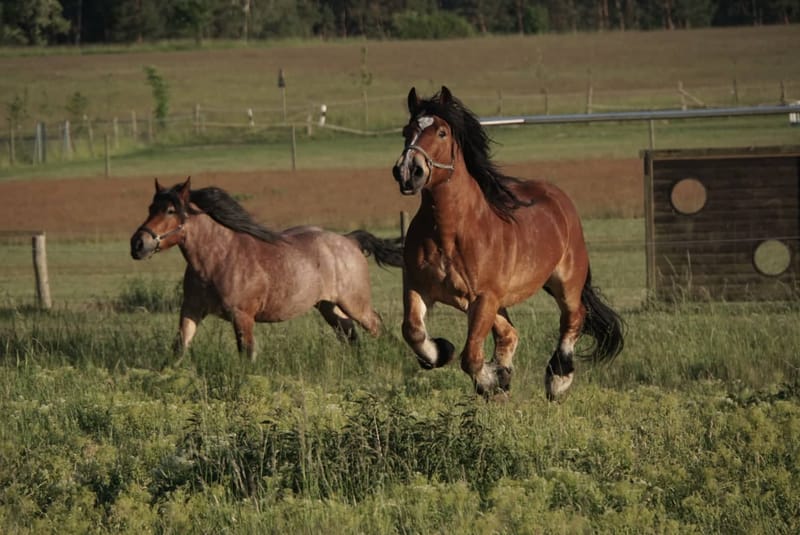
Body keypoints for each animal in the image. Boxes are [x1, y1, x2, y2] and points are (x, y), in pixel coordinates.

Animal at [133, 178, 406, 362]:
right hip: (330, 308)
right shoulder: (191, 310)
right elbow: (179, 348)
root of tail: (350, 240)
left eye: (170, 210)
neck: (217, 260)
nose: (137, 244)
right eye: (150, 208)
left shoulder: (242, 316)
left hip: (355, 304)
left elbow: (247, 355)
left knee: (377, 327)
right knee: (352, 337)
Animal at [394, 86, 624, 400]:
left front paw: (489, 380)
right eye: (407, 131)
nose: (408, 171)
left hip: (565, 282)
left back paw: (558, 379)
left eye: (441, 132)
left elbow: (471, 357)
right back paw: (504, 375)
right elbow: (413, 331)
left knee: (574, 317)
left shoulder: (483, 298)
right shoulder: (419, 287)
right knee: (509, 334)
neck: (448, 232)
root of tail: (559, 199)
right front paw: (444, 353)